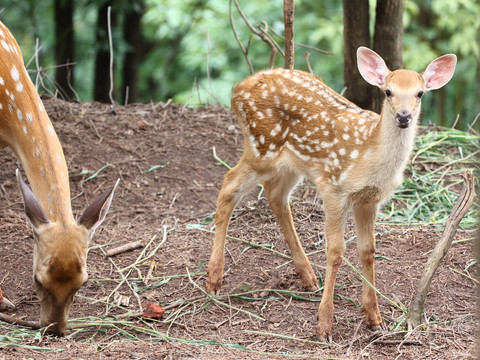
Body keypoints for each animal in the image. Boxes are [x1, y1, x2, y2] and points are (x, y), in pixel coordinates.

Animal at [204, 47, 456, 340]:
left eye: (420, 93)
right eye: (388, 92)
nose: (403, 116)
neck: (369, 155)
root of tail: (238, 88)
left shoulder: (369, 200)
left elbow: (368, 250)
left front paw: (374, 318)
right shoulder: (334, 188)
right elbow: (336, 251)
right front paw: (324, 325)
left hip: (290, 163)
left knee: (275, 195)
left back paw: (307, 276)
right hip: (261, 148)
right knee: (228, 184)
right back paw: (213, 280)